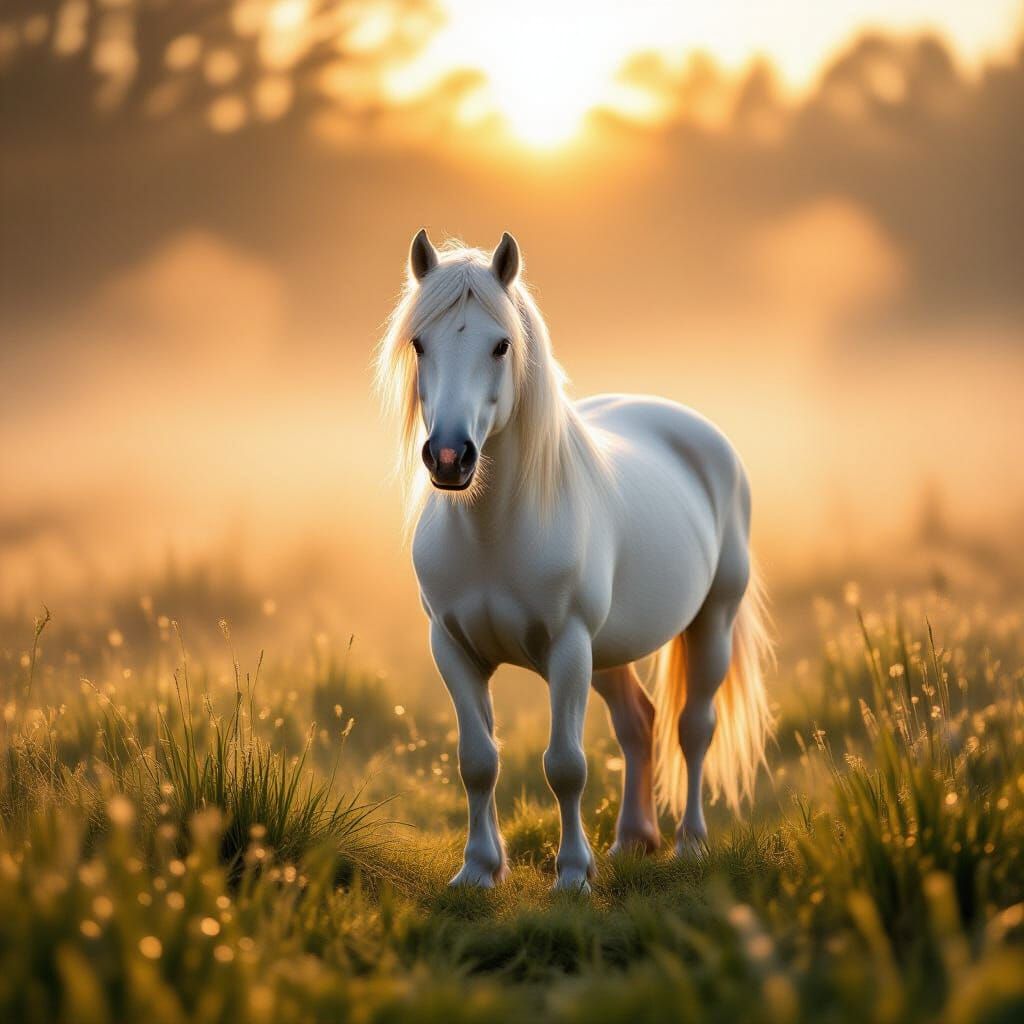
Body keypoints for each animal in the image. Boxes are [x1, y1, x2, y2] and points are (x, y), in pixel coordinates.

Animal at [375, 229, 773, 891]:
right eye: (419, 342)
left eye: (501, 344)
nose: (450, 458)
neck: (494, 533)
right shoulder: (453, 648)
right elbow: (477, 760)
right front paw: (479, 870)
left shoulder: (567, 648)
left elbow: (565, 765)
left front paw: (571, 876)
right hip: (609, 651)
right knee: (638, 724)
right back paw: (634, 839)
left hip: (708, 622)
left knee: (693, 729)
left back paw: (690, 844)